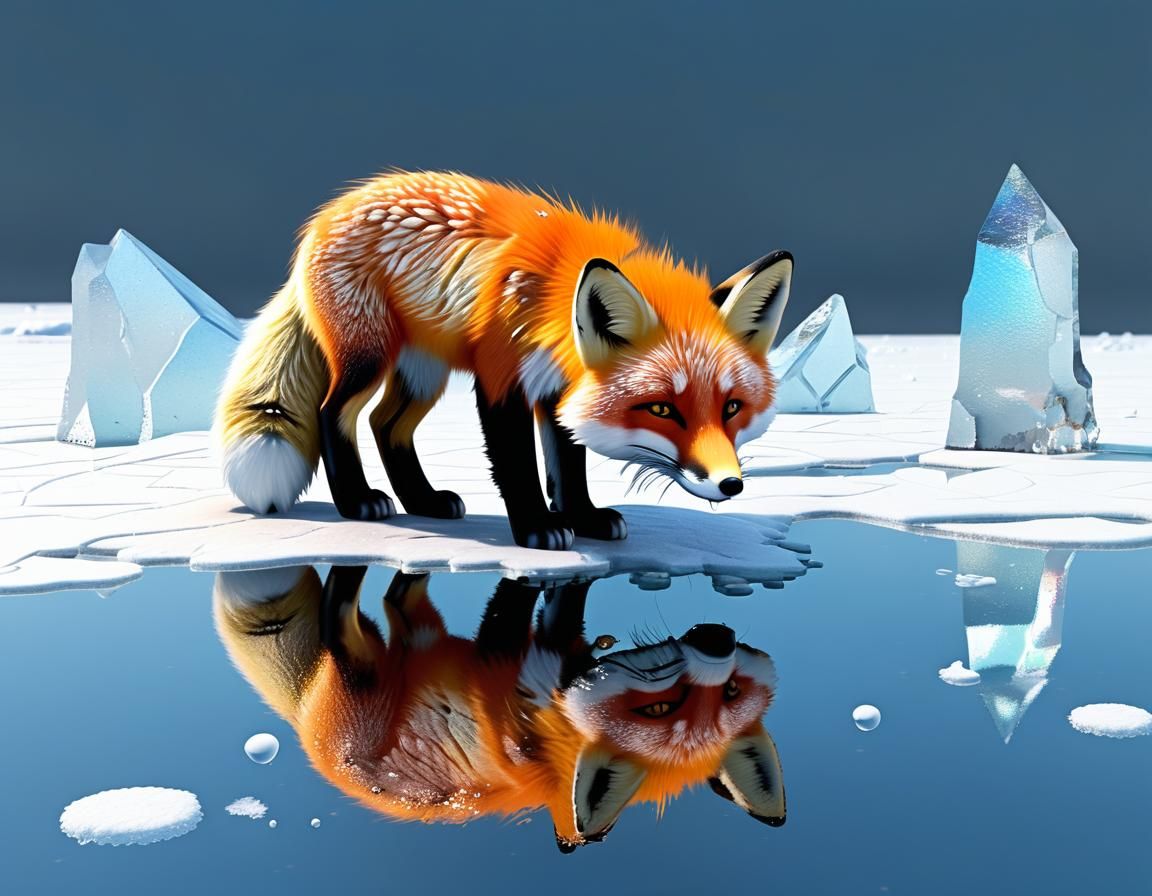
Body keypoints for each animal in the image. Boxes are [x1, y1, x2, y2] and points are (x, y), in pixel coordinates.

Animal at [213, 565, 787, 851]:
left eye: (729, 693)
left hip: (384, 652)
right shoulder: (523, 657)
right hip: (396, 652)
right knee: (374, 600)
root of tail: (301, 722)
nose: (718, 640)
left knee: (363, 606)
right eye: (662, 708)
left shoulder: (514, 656)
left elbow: (530, 605)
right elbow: (551, 598)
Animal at [215, 171, 793, 549]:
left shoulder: (559, 389)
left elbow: (568, 465)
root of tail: (325, 215)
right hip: (368, 359)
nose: (730, 484)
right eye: (663, 410)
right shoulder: (500, 378)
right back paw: (358, 501)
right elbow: (517, 463)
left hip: (423, 373)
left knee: (385, 424)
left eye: (732, 407)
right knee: (332, 413)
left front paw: (583, 518)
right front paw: (537, 528)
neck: (551, 296)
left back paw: (424, 500)